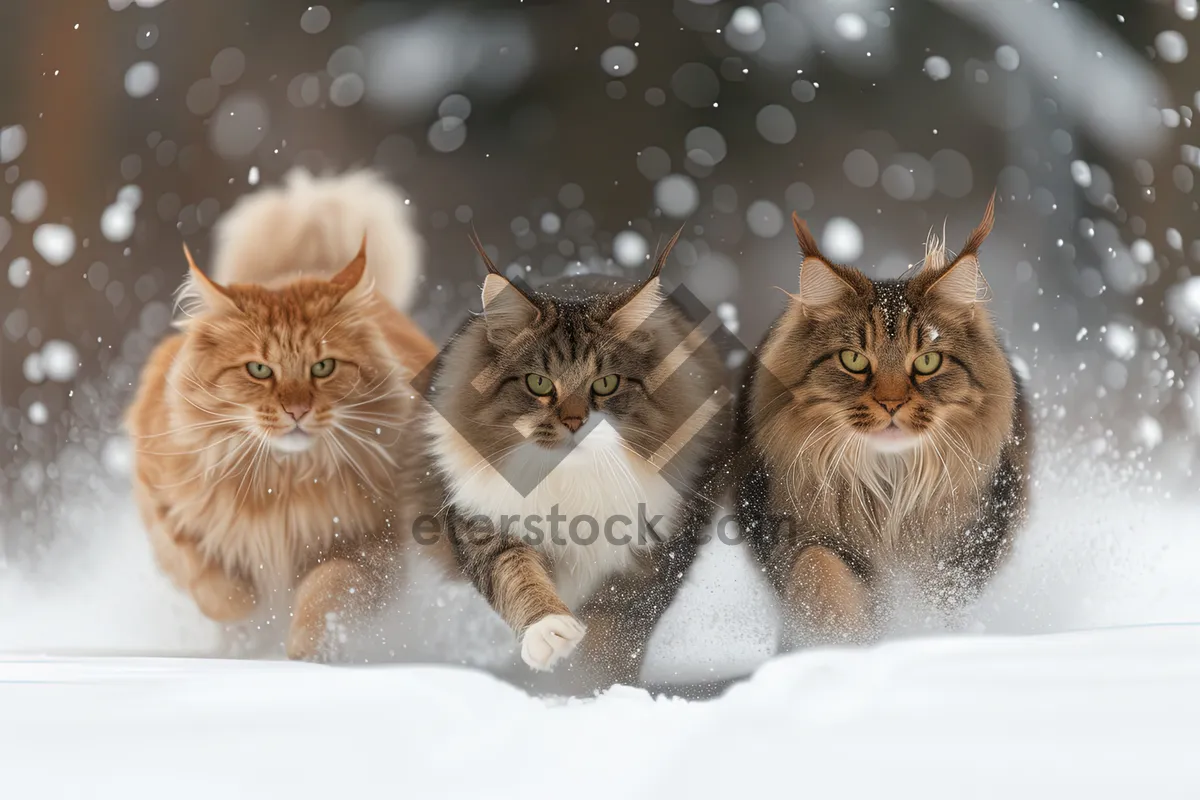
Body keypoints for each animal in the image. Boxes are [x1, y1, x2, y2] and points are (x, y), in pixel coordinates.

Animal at [126, 167, 446, 657]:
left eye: (323, 367)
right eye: (259, 370)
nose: (297, 409)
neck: (280, 484)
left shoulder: (372, 546)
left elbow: (326, 591)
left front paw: (302, 653)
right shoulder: (168, 512)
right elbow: (216, 586)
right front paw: (252, 617)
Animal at [427, 231, 724, 690]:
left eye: (605, 383)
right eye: (538, 383)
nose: (573, 421)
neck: (570, 483)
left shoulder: (653, 555)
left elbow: (615, 635)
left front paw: (597, 688)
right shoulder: (486, 525)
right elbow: (518, 577)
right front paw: (550, 633)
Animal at [729, 195, 1032, 652]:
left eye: (928, 361)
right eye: (853, 360)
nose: (891, 403)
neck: (888, 486)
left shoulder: (960, 550)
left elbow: (932, 600)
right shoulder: (793, 530)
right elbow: (821, 571)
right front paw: (837, 639)